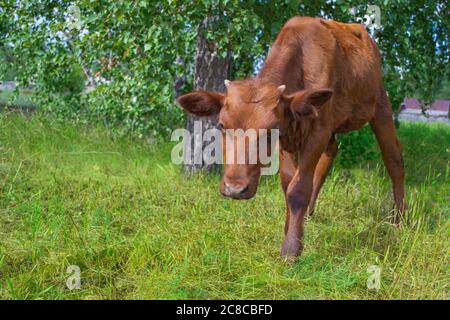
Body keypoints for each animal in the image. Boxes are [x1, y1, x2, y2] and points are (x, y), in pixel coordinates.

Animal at [178, 16, 406, 258]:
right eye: (222, 125)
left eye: (271, 130)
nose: (234, 189)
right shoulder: (288, 138)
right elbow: (288, 183)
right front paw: (291, 230)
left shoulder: (317, 130)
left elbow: (298, 188)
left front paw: (291, 248)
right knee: (329, 155)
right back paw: (308, 214)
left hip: (380, 103)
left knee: (393, 158)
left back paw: (400, 220)